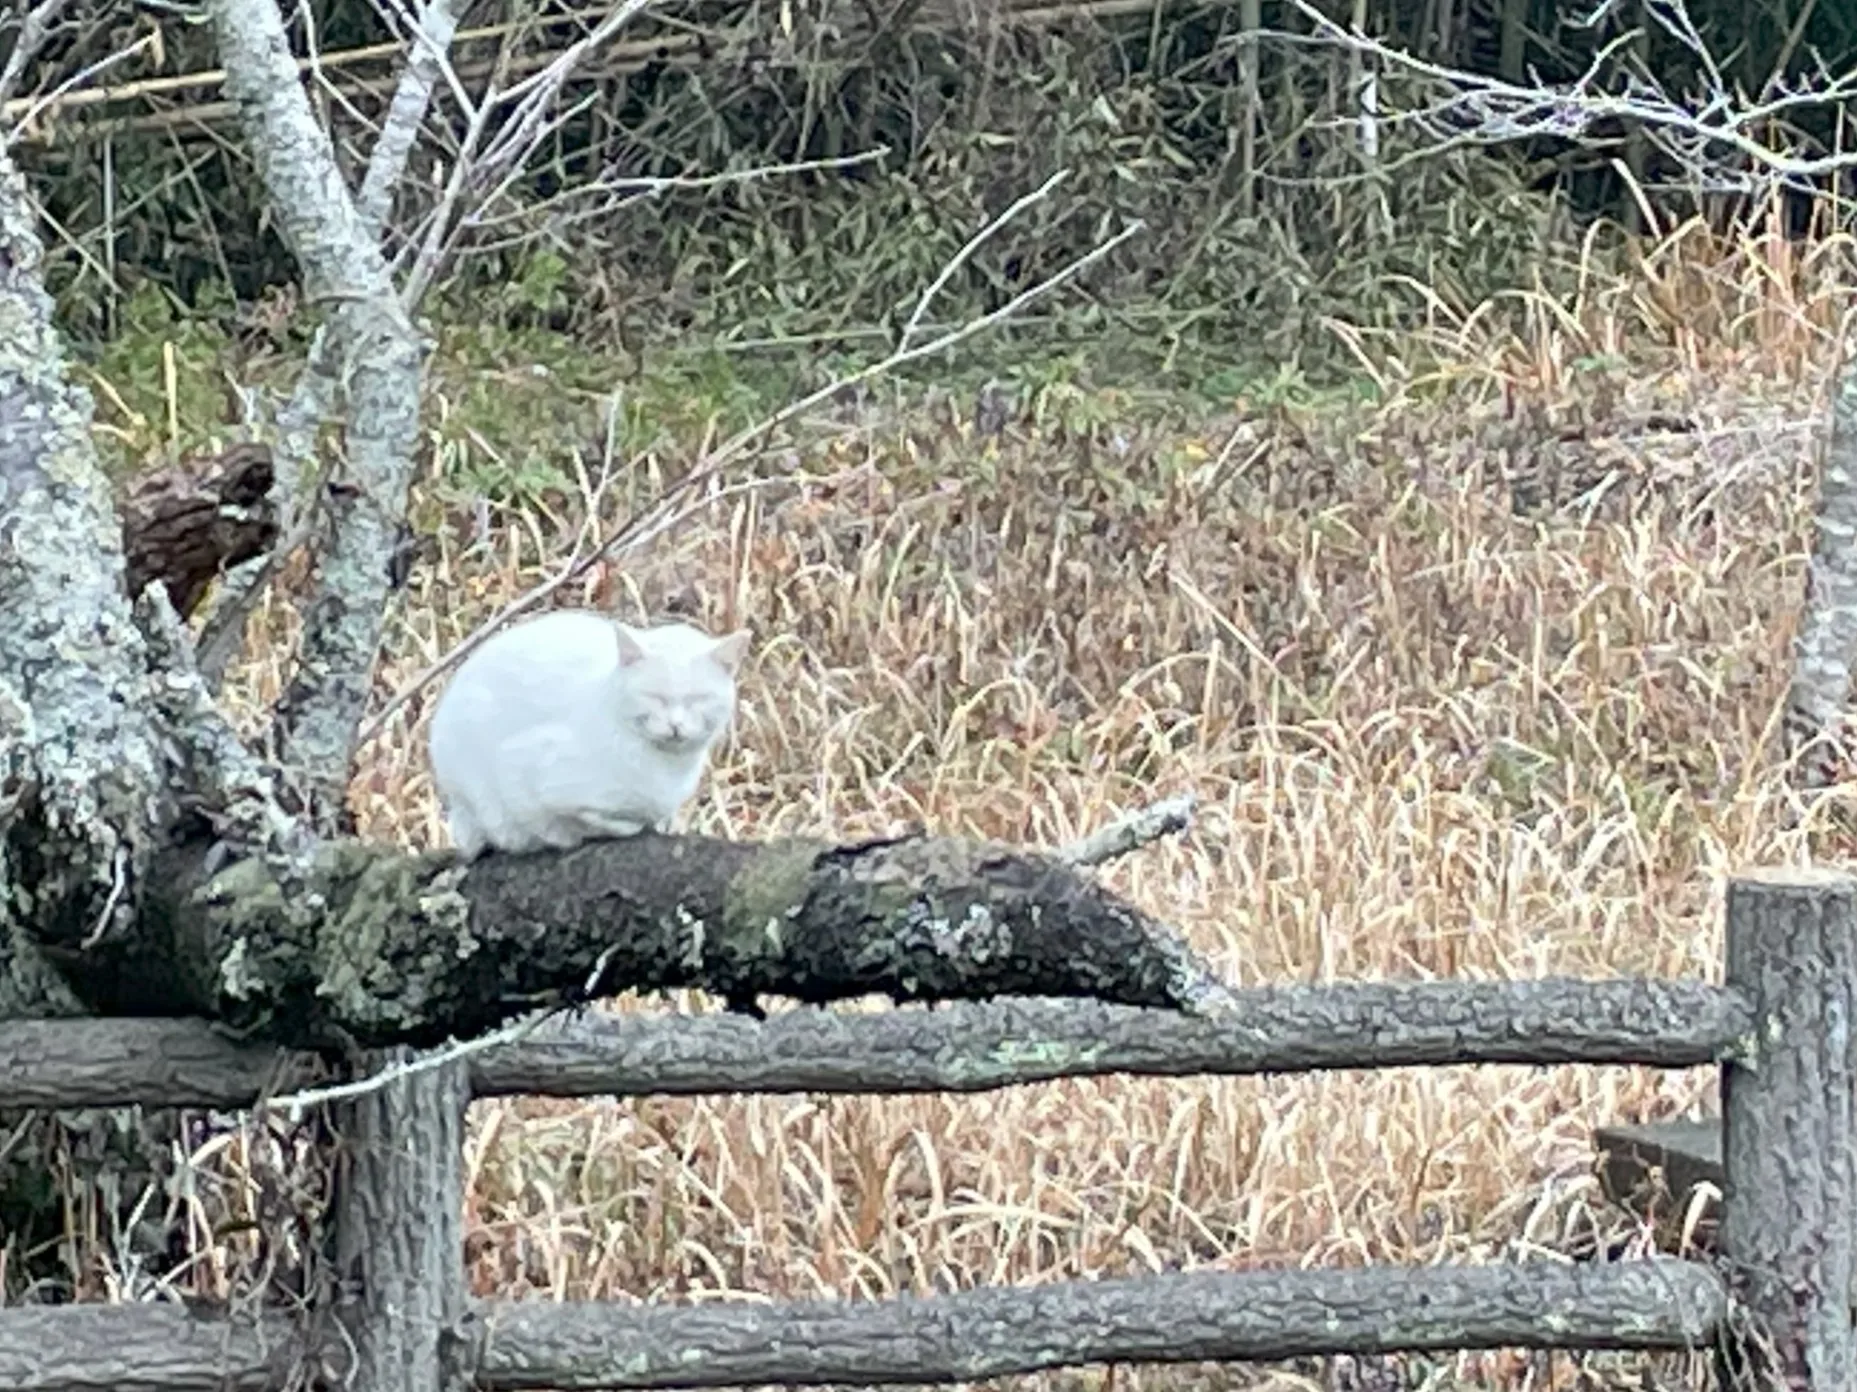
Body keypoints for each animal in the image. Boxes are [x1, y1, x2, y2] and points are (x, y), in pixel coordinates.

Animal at [430, 612, 750, 861]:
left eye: (699, 699)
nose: (676, 724)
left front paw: (664, 823)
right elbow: (587, 818)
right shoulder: (527, 774)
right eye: (655, 697)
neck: (666, 768)